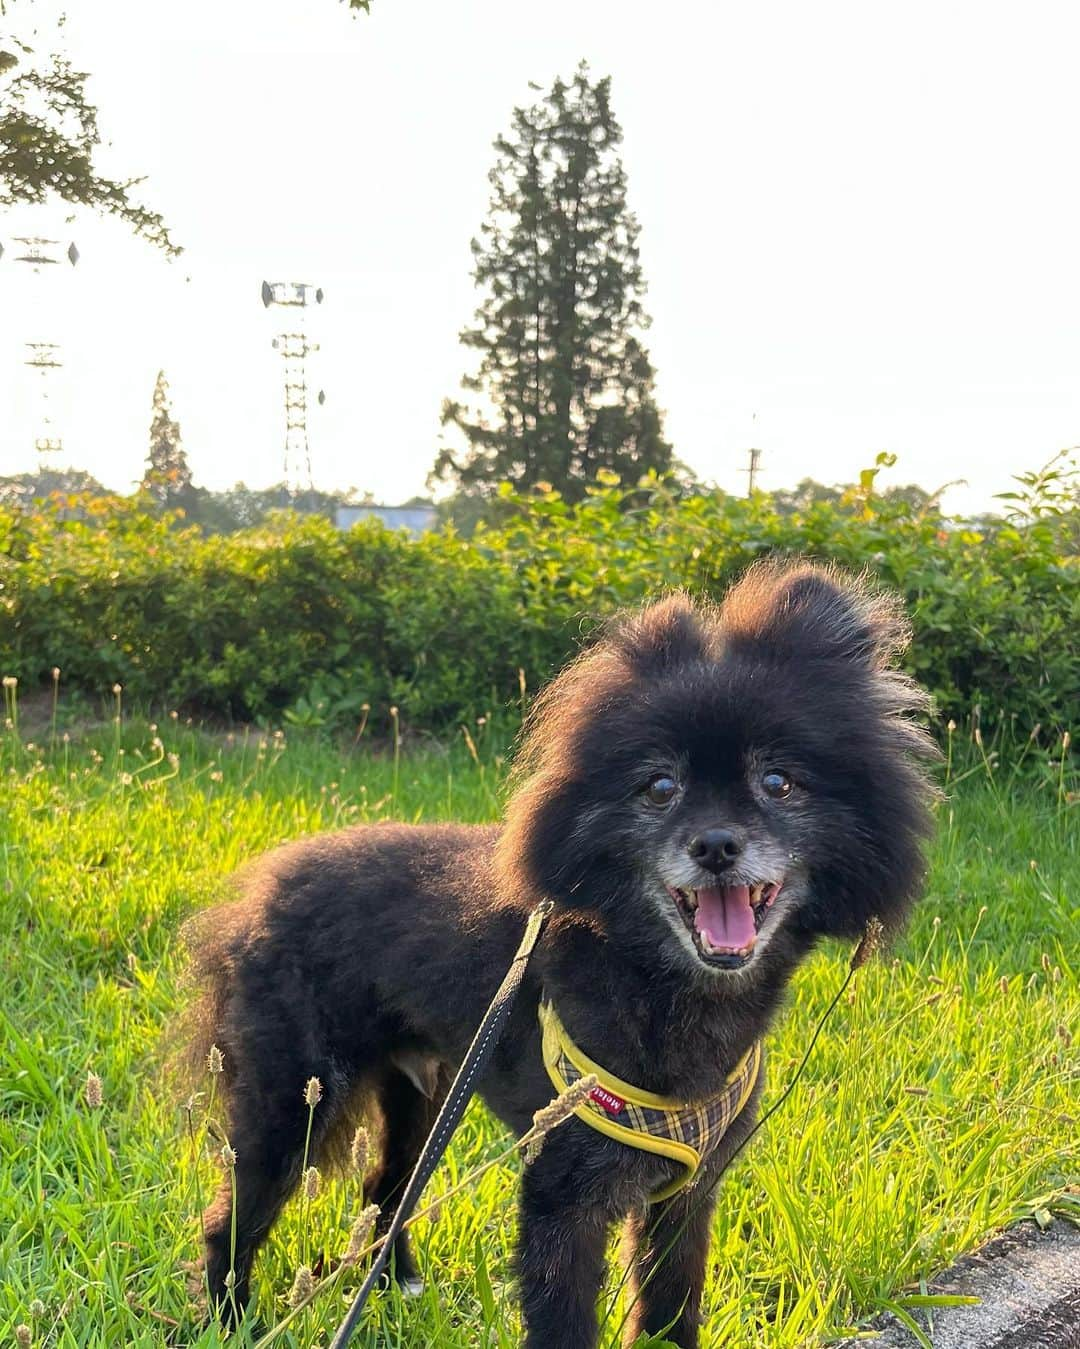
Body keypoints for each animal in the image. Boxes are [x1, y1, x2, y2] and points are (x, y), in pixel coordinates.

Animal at [186, 558, 933, 1338]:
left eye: (779, 781)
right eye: (660, 786)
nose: (717, 844)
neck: (662, 990)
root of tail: (258, 886)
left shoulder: (688, 1191)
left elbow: (671, 1306)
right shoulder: (562, 1194)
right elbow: (565, 1318)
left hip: (424, 1095)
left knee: (384, 1189)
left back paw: (397, 1286)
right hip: (294, 1097)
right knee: (235, 1215)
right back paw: (228, 1317)